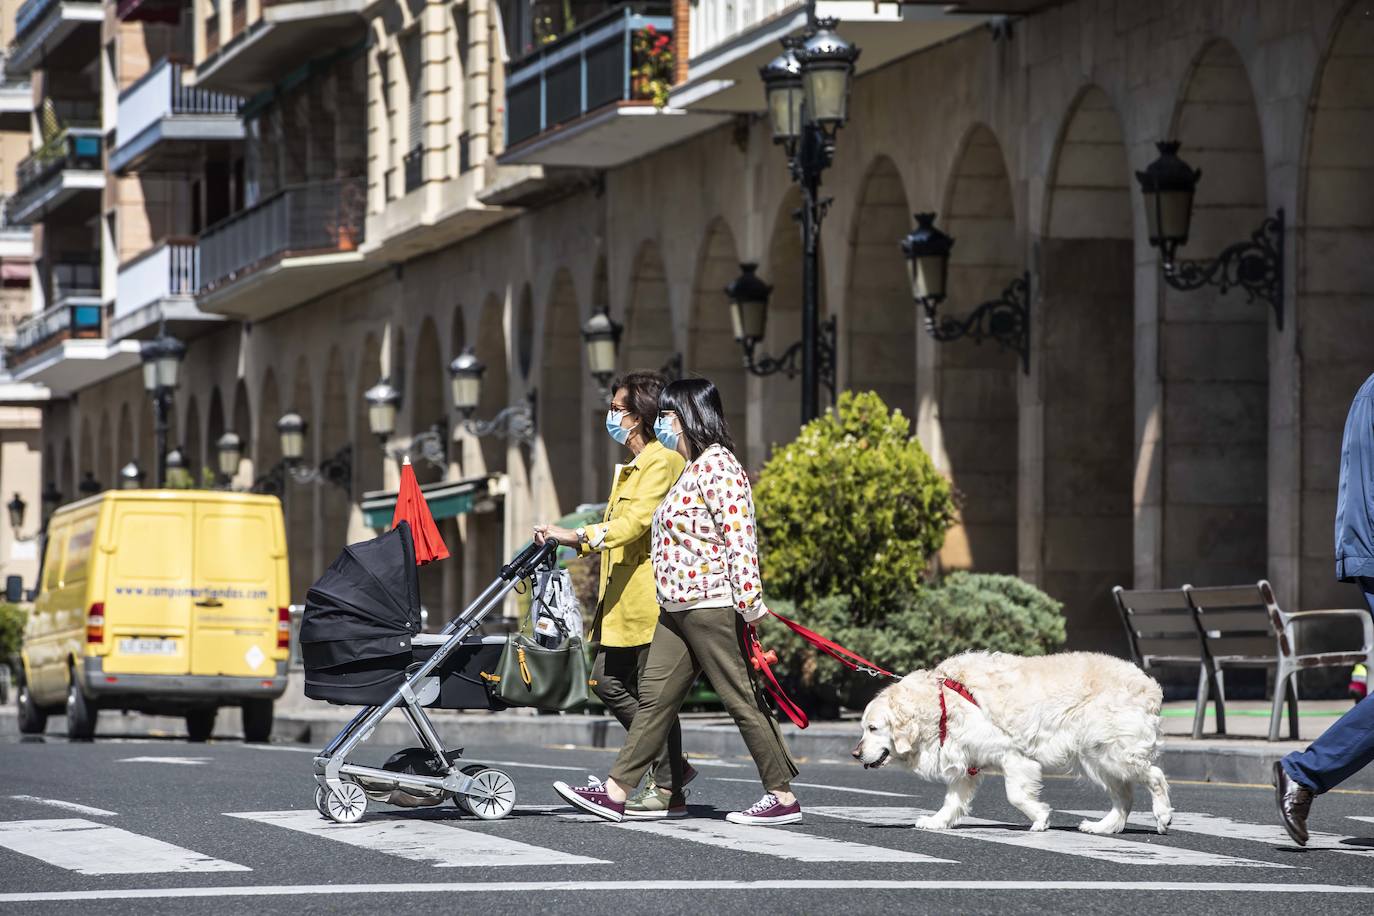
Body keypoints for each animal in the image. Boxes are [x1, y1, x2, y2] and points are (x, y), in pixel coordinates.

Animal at [851, 648, 1176, 834]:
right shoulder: (965, 762)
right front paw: (937, 822)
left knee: (1155, 776)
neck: (943, 702)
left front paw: (1040, 818)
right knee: (1125, 797)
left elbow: (1015, 795)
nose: (855, 754)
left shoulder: (1012, 755)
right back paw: (1103, 827)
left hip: (1113, 752)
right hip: (1096, 758)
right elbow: (952, 801)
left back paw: (1162, 816)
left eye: (873, 727)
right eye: (864, 727)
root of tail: (1150, 685)